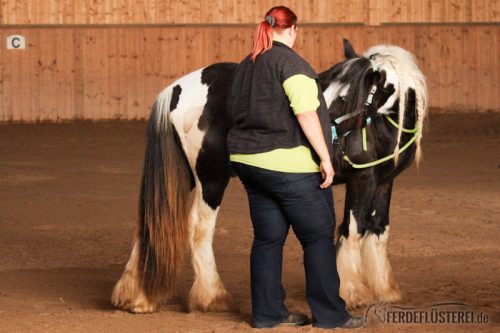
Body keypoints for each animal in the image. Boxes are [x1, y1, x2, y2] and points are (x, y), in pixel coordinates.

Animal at [111, 40, 428, 312]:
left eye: (346, 96)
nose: (318, 132)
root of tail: (177, 89)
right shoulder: (361, 181)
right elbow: (352, 231)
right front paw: (351, 293)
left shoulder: (384, 182)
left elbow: (379, 229)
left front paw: (385, 290)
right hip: (211, 178)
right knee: (199, 230)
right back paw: (212, 297)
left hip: (185, 176)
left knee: (150, 221)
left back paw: (136, 297)